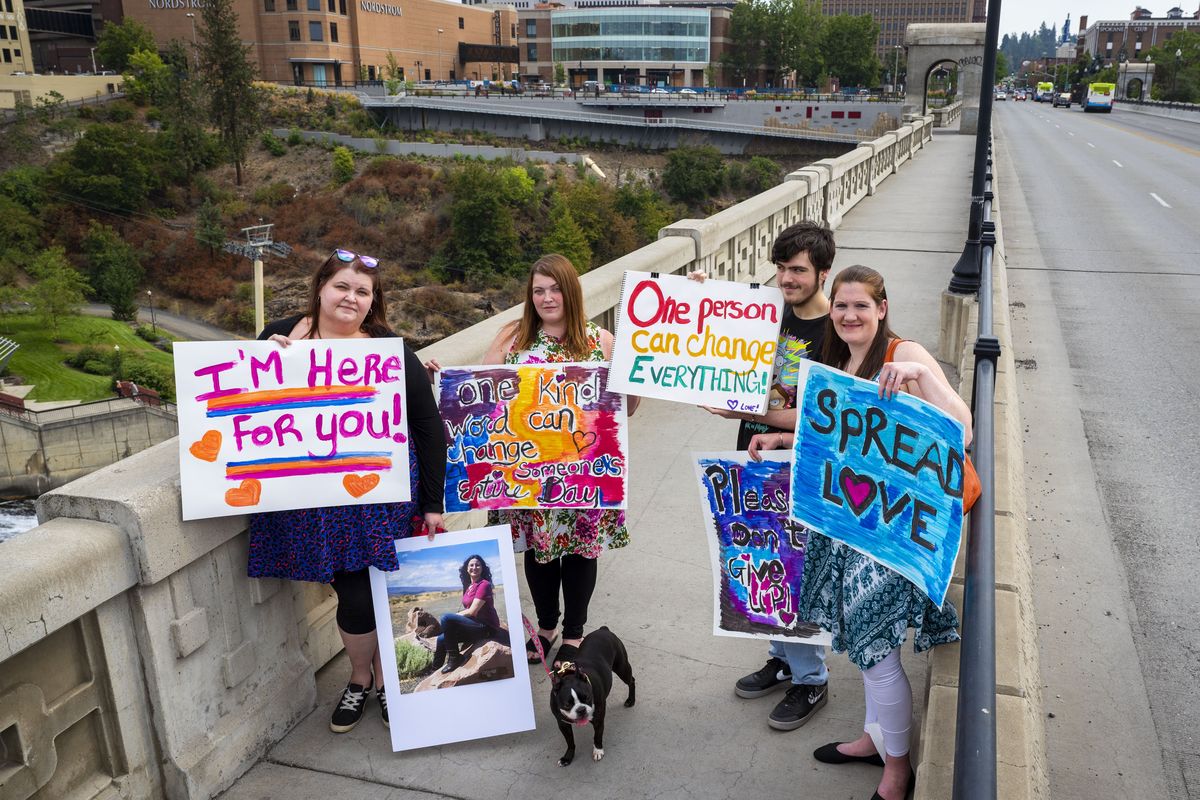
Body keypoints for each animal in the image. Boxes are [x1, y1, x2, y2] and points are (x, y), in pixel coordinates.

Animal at [549, 628, 633, 767]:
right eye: (567, 705)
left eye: (588, 697)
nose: (581, 709)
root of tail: (603, 629)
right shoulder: (563, 724)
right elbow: (570, 742)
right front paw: (568, 757)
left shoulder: (598, 720)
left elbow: (597, 736)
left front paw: (598, 751)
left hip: (622, 668)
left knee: (631, 680)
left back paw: (631, 700)